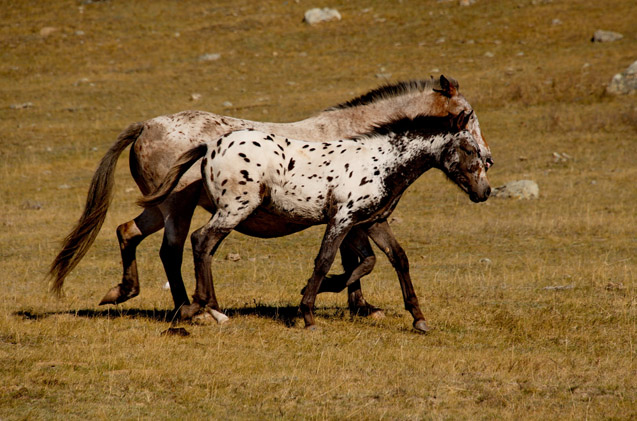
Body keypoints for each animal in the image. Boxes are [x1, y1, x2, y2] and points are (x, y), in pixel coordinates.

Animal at [139, 110, 490, 332]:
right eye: (468, 147)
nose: (484, 192)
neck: (381, 162)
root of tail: (211, 145)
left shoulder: (369, 222)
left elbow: (391, 260)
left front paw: (418, 318)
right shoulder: (342, 219)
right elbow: (325, 261)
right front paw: (308, 313)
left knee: (205, 246)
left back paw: (212, 309)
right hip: (235, 208)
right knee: (201, 241)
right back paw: (199, 307)